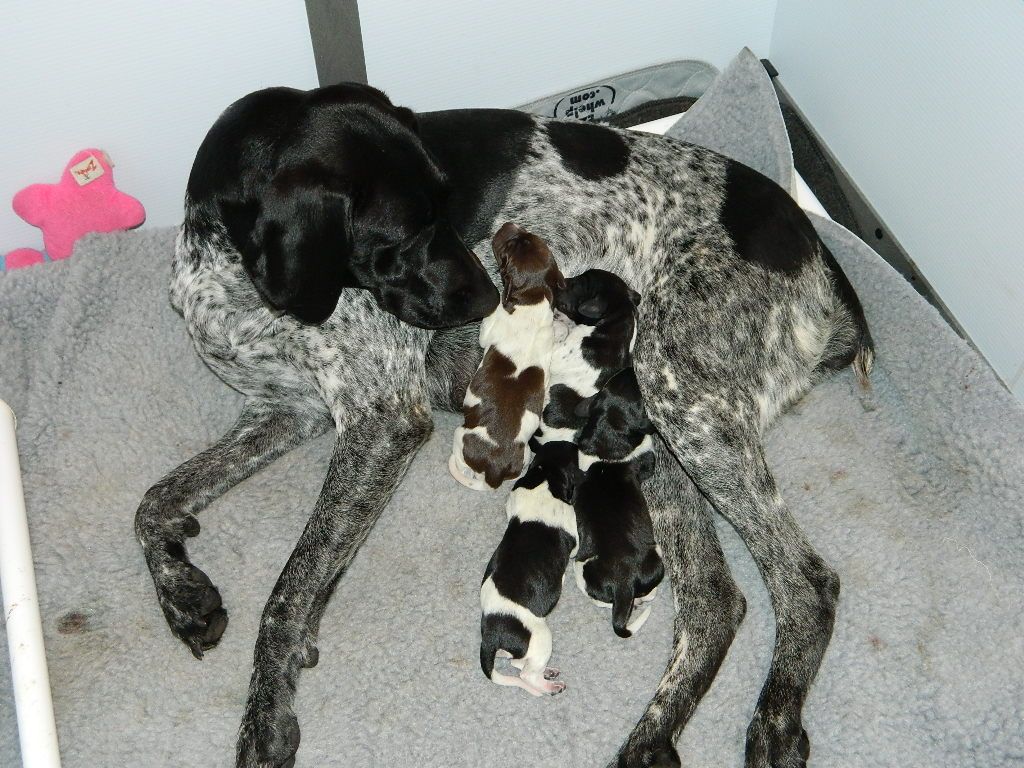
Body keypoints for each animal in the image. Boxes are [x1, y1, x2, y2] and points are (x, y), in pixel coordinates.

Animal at [450, 223, 563, 490]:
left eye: (505, 254)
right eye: (529, 236)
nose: (507, 224)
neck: (532, 299)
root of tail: (493, 473)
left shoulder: (489, 329)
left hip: (460, 434)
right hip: (525, 454)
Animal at [479, 440, 578, 696]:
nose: (575, 443)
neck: (543, 475)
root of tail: (491, 635)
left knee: (516, 662)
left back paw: (547, 672)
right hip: (542, 637)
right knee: (526, 674)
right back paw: (550, 685)